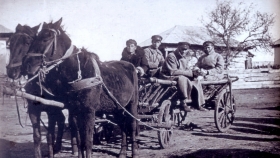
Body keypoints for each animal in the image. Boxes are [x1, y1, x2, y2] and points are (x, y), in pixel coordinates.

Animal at [5, 23, 67, 158]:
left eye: (28, 42)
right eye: (10, 43)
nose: (12, 72)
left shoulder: (52, 110)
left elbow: (49, 136)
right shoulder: (33, 110)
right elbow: (37, 136)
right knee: (61, 120)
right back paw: (57, 147)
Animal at [21, 17, 139, 158]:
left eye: (46, 38)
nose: (26, 64)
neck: (80, 73)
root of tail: (131, 66)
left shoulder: (89, 111)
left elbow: (87, 141)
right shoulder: (75, 111)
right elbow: (80, 140)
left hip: (132, 105)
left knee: (132, 125)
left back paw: (134, 152)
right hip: (117, 107)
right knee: (122, 125)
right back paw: (122, 152)